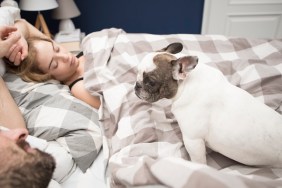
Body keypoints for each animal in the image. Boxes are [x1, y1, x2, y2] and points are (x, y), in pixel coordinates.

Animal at [134, 43, 282, 167]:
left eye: (151, 82)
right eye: (138, 72)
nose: (136, 85)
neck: (186, 84)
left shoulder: (193, 140)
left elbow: (199, 162)